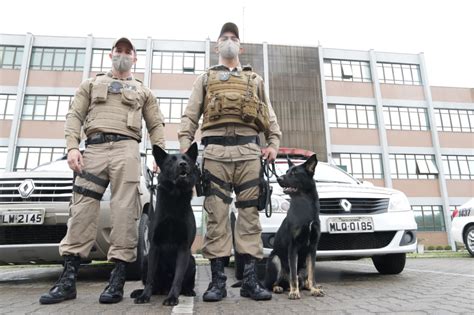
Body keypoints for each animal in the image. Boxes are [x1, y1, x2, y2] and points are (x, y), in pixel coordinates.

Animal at [131, 143, 200, 306]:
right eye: (171, 161)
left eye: (186, 159)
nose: (183, 164)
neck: (174, 198)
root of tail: (163, 288)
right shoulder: (154, 246)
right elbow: (150, 278)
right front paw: (144, 296)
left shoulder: (183, 248)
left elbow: (178, 278)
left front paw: (172, 297)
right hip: (145, 259)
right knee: (153, 283)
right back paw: (144, 291)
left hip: (192, 260)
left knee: (185, 283)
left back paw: (187, 291)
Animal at [262, 156, 326, 302]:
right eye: (287, 171)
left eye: (294, 173)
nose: (279, 178)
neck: (305, 205)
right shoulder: (293, 247)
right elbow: (293, 275)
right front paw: (294, 292)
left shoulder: (312, 248)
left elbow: (312, 273)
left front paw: (314, 289)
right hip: (275, 260)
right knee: (271, 284)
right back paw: (279, 288)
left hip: (303, 265)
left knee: (305, 278)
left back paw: (311, 286)